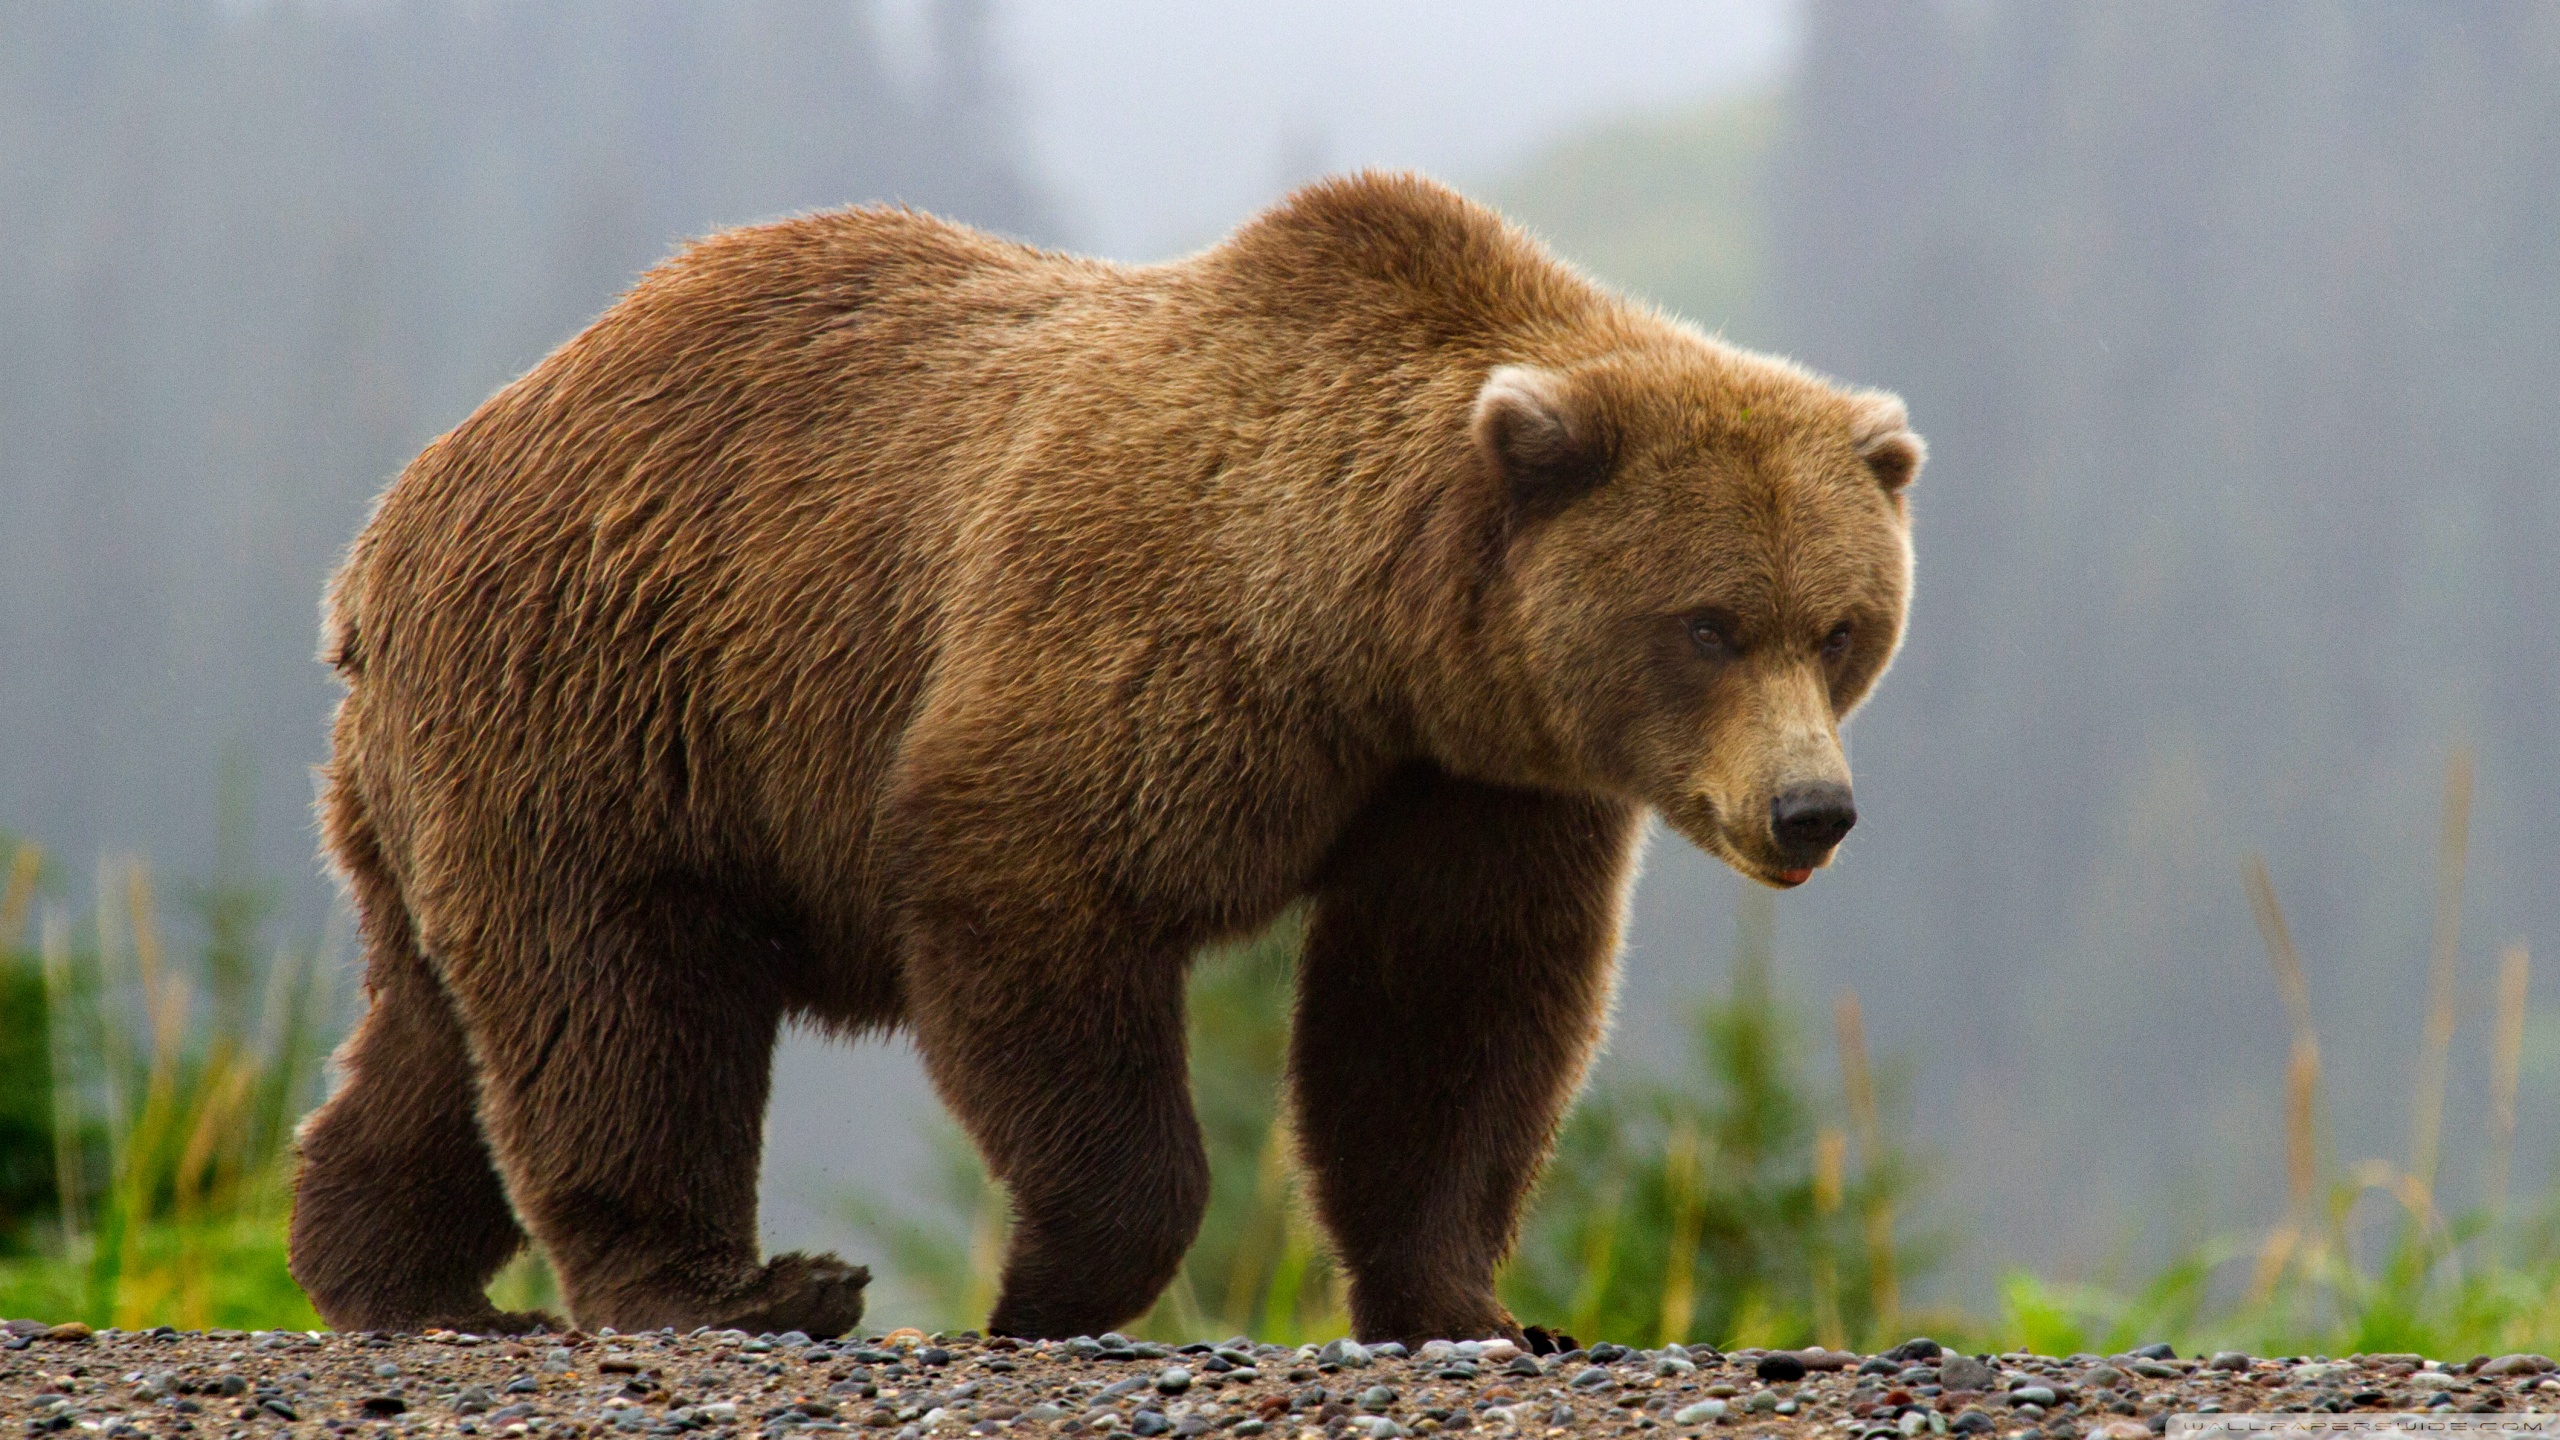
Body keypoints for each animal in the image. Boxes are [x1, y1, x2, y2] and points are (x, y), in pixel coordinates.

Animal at [287, 171, 1921, 1345]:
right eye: (1707, 623)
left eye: (1842, 626)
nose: (1812, 809)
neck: (1373, 633)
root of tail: (394, 520)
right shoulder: (1151, 638)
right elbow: (1037, 890)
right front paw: (1047, 1286)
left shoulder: (1475, 781)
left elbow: (1447, 1014)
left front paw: (1477, 1307)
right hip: (614, 697)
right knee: (621, 999)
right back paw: (733, 1290)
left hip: (457, 768)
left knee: (441, 1027)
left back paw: (392, 1274)